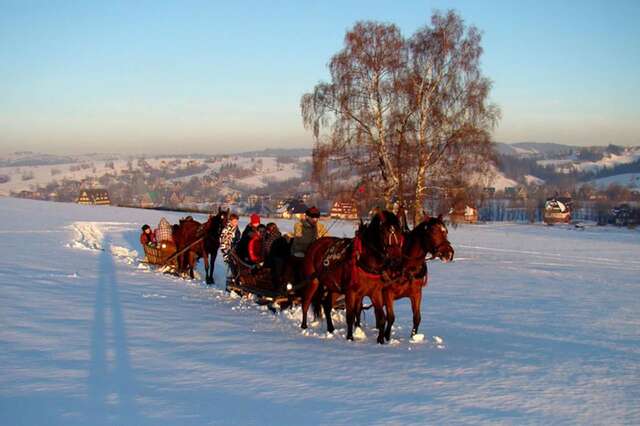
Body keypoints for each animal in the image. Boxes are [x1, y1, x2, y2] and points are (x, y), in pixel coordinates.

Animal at [298, 211, 402, 344]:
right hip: (313, 282)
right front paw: (350, 337)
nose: (397, 260)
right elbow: (350, 316)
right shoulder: (351, 292)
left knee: (326, 306)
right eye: (385, 232)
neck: (363, 259)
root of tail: (315, 244)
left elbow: (381, 317)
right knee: (306, 303)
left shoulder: (375, 293)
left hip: (334, 287)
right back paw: (304, 326)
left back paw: (331, 329)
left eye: (400, 232)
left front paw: (380, 340)